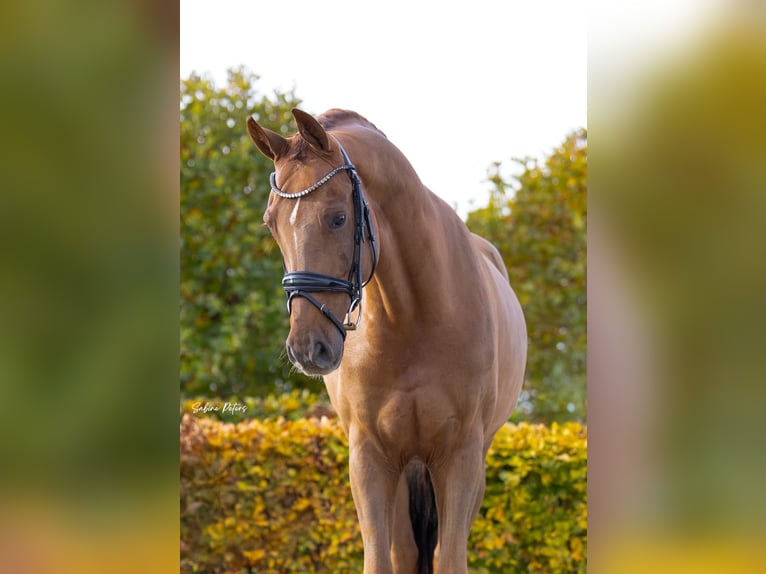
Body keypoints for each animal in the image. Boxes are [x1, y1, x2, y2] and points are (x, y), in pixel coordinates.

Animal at [247, 109, 527, 574]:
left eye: (338, 218)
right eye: (272, 224)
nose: (308, 348)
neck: (411, 319)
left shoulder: (461, 456)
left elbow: (450, 558)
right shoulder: (369, 456)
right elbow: (380, 559)